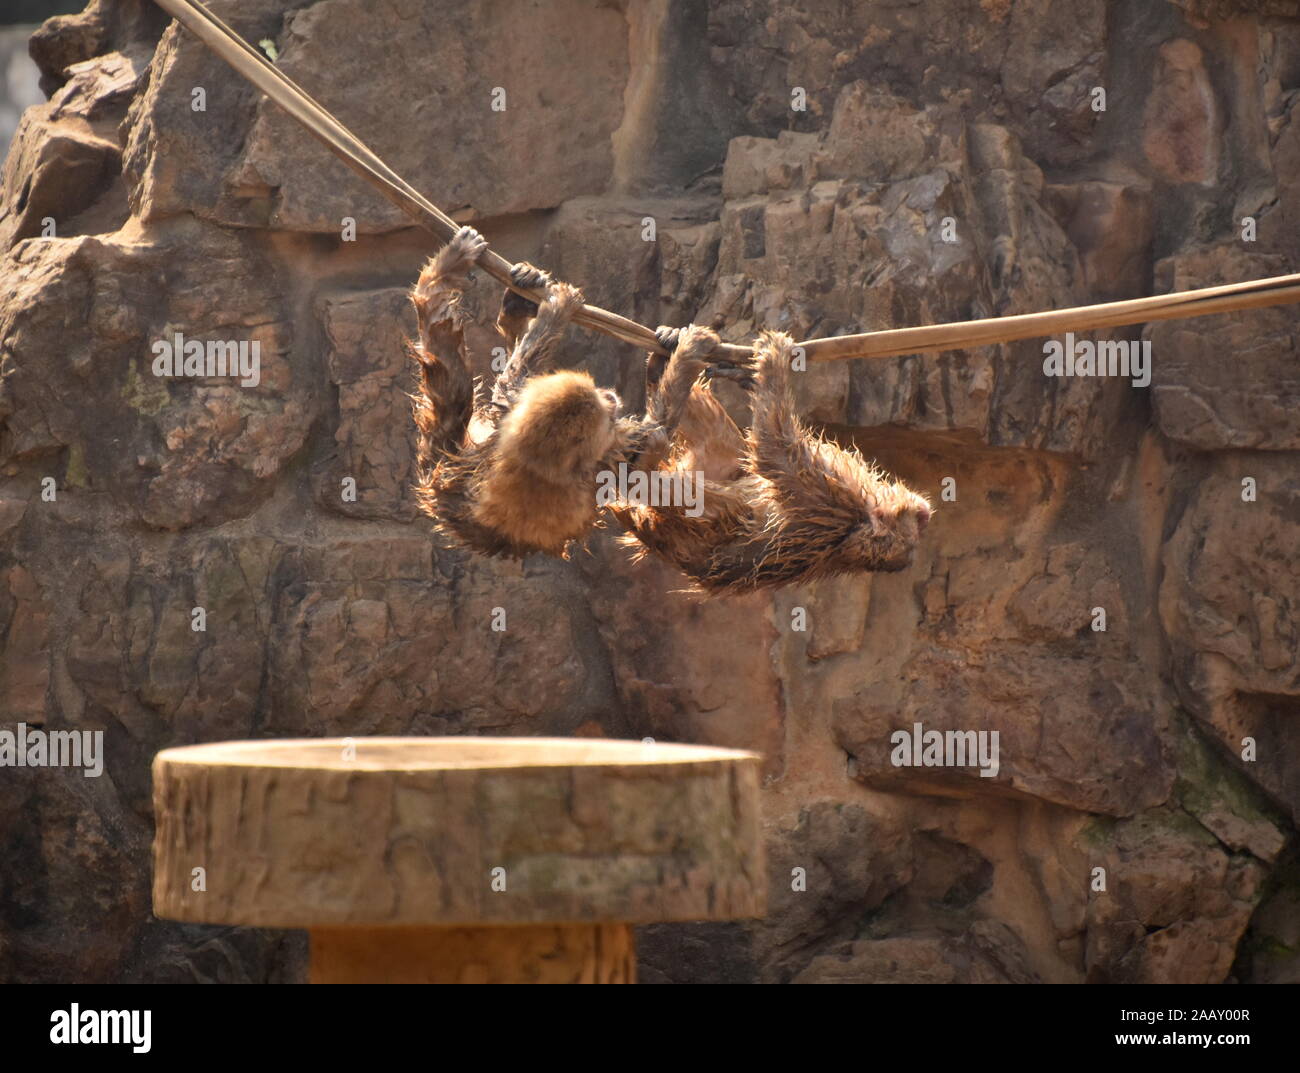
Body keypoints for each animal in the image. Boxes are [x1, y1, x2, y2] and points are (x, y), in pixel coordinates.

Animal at [611, 326, 930, 595]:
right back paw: (660, 361)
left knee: (676, 487)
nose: (926, 514)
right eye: (918, 520)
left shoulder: (828, 490)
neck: (855, 525)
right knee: (722, 441)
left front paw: (776, 357)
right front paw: (752, 376)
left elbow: (772, 447)